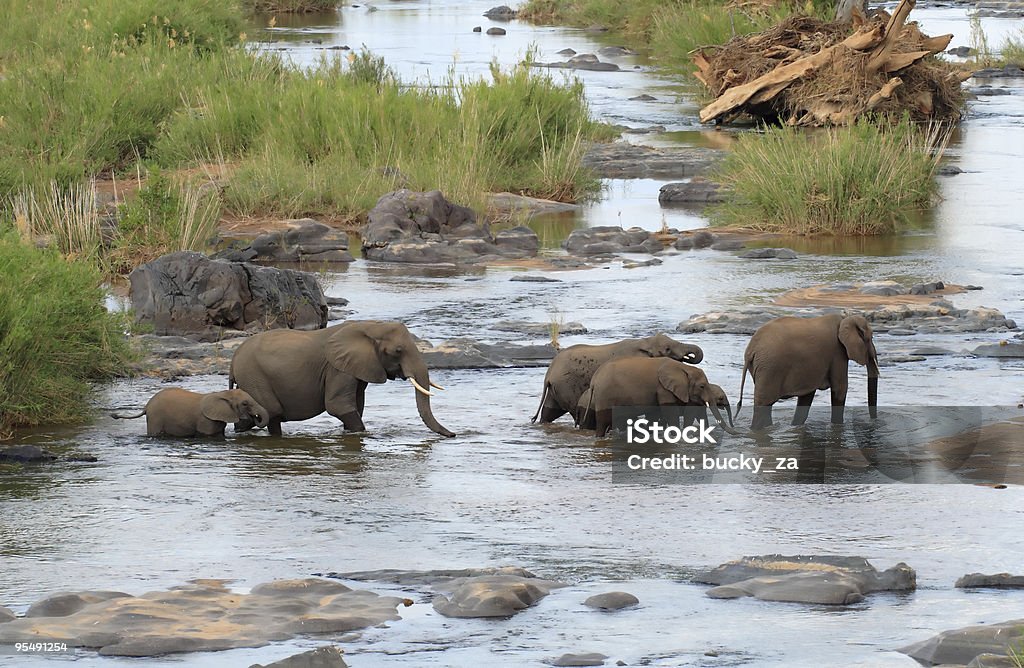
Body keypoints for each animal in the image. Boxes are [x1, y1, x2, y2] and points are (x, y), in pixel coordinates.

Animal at [110, 385, 270, 438]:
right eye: (245, 404)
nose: (255, 417)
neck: (223, 393)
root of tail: (146, 406)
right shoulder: (206, 420)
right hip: (155, 417)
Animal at [232, 319, 456, 438]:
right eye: (398, 350)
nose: (454, 435)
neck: (369, 326)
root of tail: (234, 359)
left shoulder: (357, 368)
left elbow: (356, 405)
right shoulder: (337, 369)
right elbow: (339, 406)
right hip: (254, 377)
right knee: (272, 413)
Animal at [528, 331, 704, 426]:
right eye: (667, 349)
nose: (688, 356)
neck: (645, 342)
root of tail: (549, 374)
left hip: (557, 390)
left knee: (548, 413)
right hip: (567, 386)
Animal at [581, 354, 733, 438]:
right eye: (702, 386)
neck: (683, 368)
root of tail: (594, 381)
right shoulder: (663, 388)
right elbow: (670, 412)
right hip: (605, 396)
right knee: (603, 422)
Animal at [737, 311, 880, 428]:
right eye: (871, 338)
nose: (873, 421)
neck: (845, 318)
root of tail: (751, 349)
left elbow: (807, 395)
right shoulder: (837, 352)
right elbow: (840, 388)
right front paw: (838, 426)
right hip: (770, 368)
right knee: (765, 404)